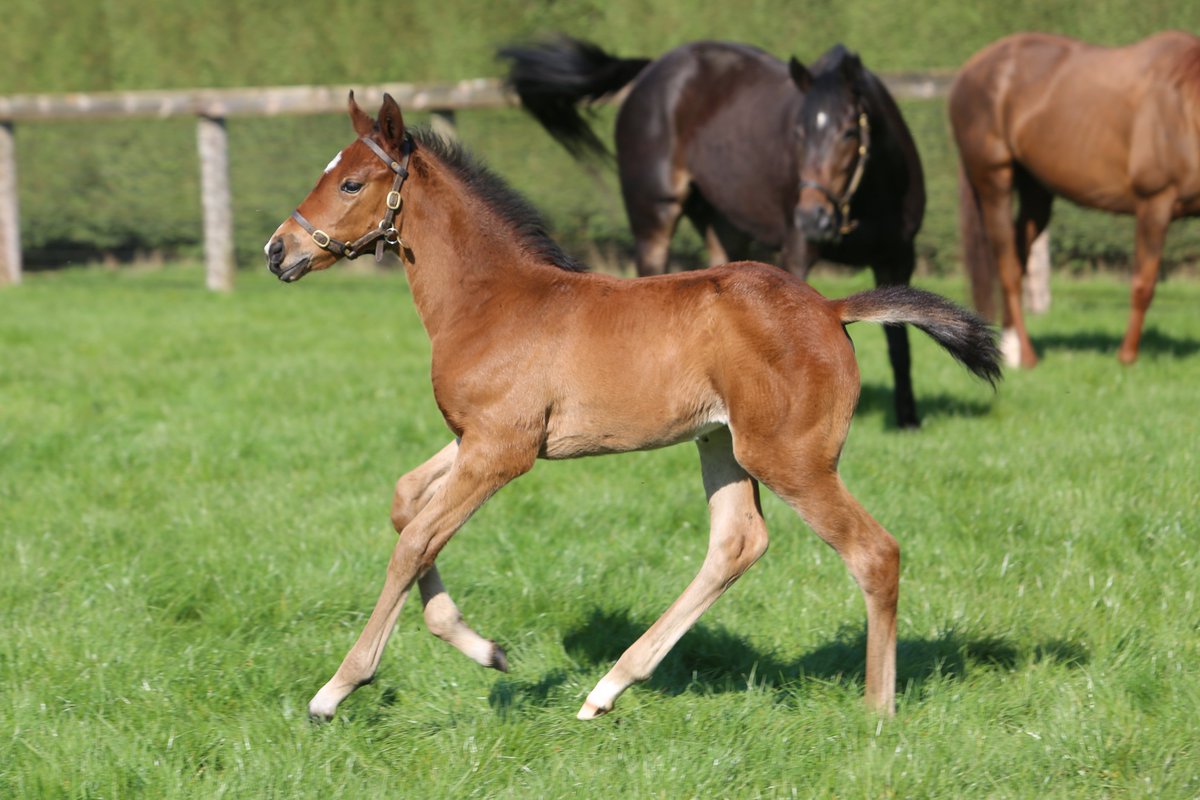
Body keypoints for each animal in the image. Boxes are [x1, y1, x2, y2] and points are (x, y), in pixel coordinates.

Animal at [265, 93, 999, 722]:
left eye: (351, 184)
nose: (278, 250)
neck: (489, 298)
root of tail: (830, 308)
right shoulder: (479, 437)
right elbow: (405, 501)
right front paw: (485, 648)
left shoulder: (502, 450)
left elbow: (414, 540)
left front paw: (336, 689)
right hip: (722, 444)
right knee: (737, 542)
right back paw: (608, 688)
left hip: (789, 456)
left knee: (874, 553)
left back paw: (878, 712)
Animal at [500, 37, 929, 428]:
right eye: (798, 133)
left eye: (848, 132)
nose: (812, 218)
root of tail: (653, 68)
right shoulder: (798, 253)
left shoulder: (898, 258)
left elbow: (900, 343)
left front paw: (907, 418)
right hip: (656, 214)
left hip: (721, 228)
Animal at [950, 30, 1200, 368]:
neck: (1186, 106)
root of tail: (969, 70)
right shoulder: (1155, 204)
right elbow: (1143, 284)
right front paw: (1126, 357)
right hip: (994, 181)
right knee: (1007, 268)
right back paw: (1026, 357)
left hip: (1035, 193)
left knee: (1018, 261)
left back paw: (1010, 348)